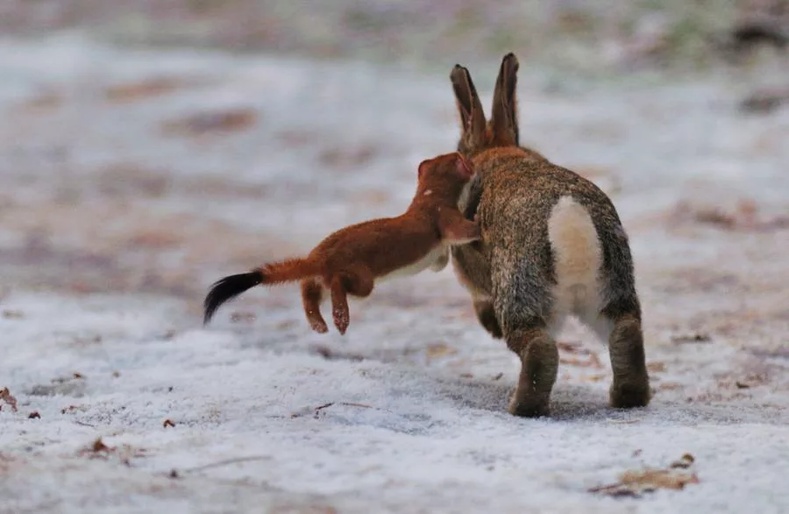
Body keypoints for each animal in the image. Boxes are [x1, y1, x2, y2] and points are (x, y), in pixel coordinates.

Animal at [446, 52, 648, 414]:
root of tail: (570, 219)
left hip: (521, 294)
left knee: (539, 349)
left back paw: (521, 406)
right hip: (611, 293)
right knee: (626, 332)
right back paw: (627, 397)